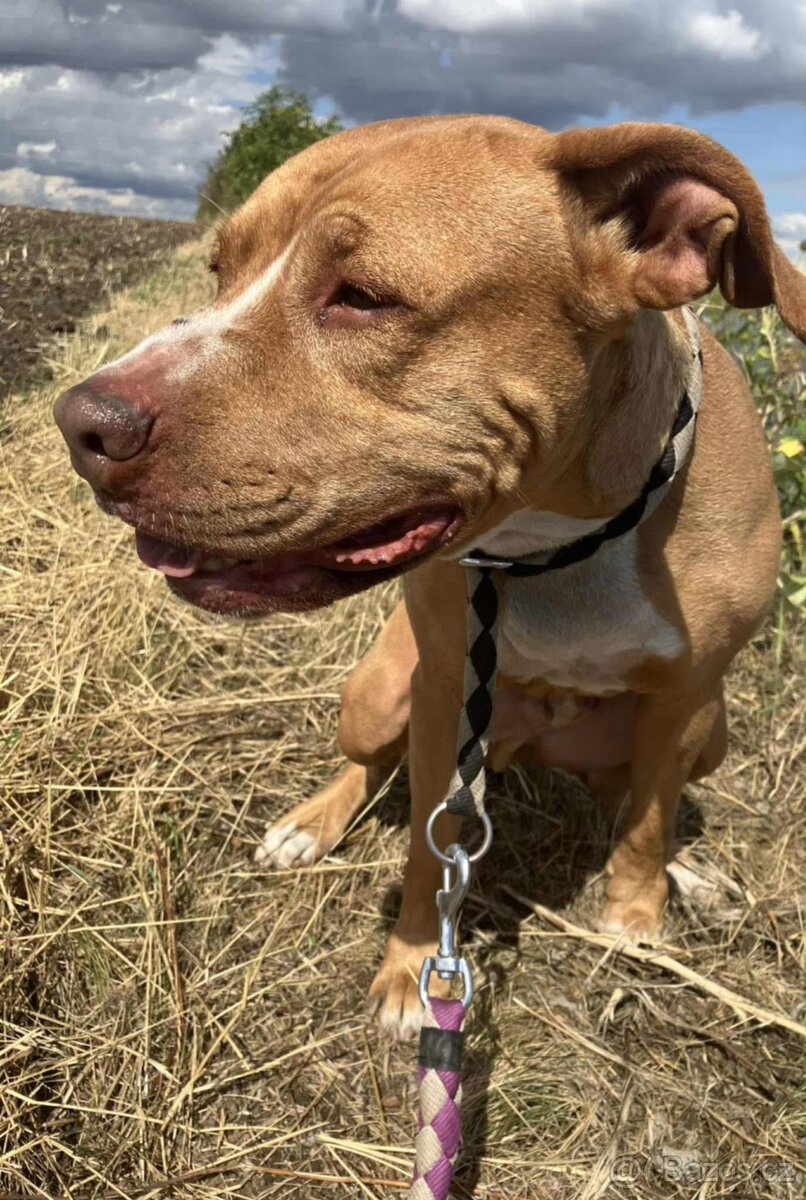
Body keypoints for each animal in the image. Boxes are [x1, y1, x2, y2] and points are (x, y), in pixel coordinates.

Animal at [54, 116, 805, 1039]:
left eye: (363, 296)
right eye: (220, 269)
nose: (80, 423)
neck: (566, 541)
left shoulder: (691, 691)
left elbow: (648, 816)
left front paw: (638, 908)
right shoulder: (447, 687)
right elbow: (424, 846)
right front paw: (415, 970)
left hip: (713, 731)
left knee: (623, 793)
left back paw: (687, 875)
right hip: (380, 694)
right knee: (372, 767)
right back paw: (309, 825)